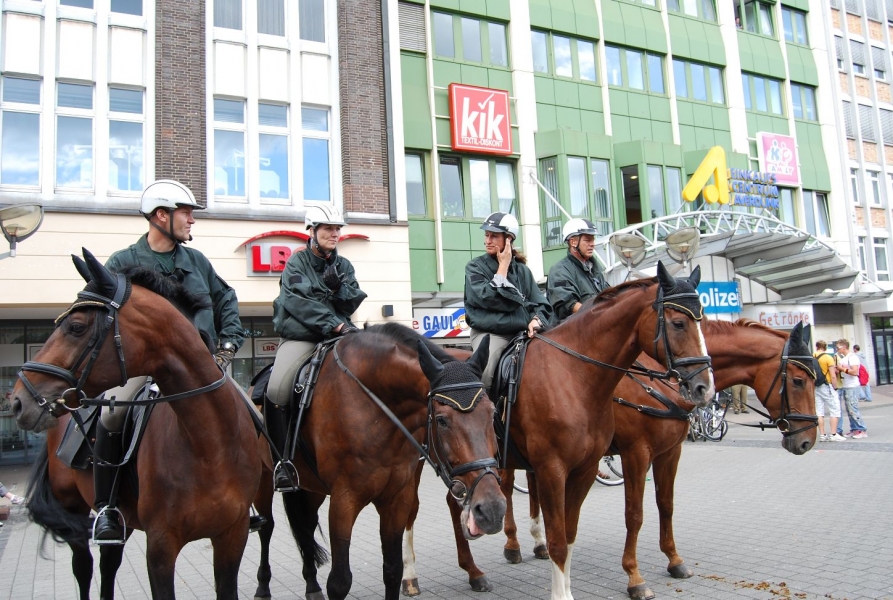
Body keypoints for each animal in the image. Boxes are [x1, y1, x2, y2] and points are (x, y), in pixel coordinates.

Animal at [12, 251, 266, 596]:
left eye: (76, 327)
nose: (18, 401)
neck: (210, 445)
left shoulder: (232, 536)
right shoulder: (160, 547)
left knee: (109, 564)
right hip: (73, 508)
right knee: (84, 567)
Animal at [264, 324, 506, 600]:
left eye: (492, 412)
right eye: (442, 420)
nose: (492, 509)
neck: (373, 408)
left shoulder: (396, 498)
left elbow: (392, 570)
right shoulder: (343, 501)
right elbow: (339, 581)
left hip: (311, 488)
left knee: (305, 525)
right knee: (272, 527)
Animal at [400, 262, 716, 600]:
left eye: (704, 321)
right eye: (679, 323)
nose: (703, 387)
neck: (574, 377)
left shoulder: (596, 467)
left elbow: (577, 531)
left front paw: (673, 561)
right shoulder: (577, 465)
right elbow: (592, 528)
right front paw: (631, 578)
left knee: (465, 500)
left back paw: (475, 571)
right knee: (411, 510)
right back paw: (412, 576)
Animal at [404, 318, 816, 600]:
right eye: (799, 380)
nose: (807, 440)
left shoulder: (670, 452)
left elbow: (665, 506)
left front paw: (674, 559)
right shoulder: (636, 453)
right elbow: (634, 514)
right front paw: (634, 577)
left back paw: (519, 548)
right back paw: (480, 562)